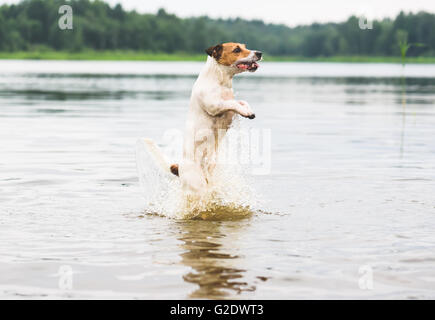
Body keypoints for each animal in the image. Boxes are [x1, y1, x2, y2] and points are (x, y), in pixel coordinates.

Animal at [144, 42, 262, 198]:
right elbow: (232, 103)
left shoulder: (229, 112)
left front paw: (248, 110)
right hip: (198, 186)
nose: (259, 53)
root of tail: (179, 169)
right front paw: (246, 111)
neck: (220, 82)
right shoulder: (215, 106)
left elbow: (240, 102)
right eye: (237, 49)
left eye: (245, 46)